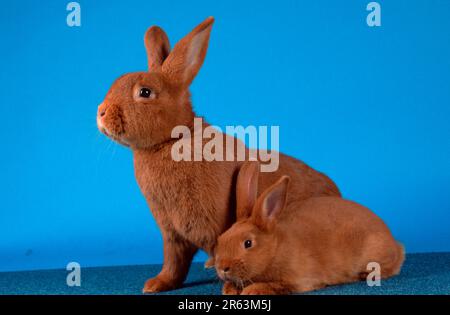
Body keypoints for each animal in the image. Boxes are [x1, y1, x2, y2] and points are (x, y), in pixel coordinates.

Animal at [96, 17, 340, 294]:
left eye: (145, 92)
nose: (101, 112)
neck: (172, 140)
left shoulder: (217, 225)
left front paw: (230, 286)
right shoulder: (172, 235)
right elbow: (174, 263)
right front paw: (156, 284)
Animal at [214, 163, 404, 296]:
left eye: (248, 243)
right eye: (221, 239)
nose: (222, 268)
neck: (275, 250)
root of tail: (395, 244)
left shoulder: (300, 280)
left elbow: (274, 285)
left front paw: (252, 290)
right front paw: (229, 289)